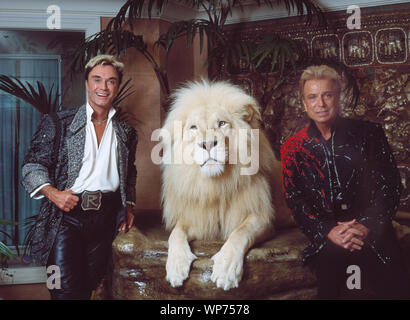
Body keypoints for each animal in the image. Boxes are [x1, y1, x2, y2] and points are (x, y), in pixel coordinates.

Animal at [159, 79, 292, 290]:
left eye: (221, 123)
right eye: (193, 127)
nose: (207, 144)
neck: (216, 184)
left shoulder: (263, 218)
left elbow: (240, 233)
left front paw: (226, 269)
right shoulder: (199, 219)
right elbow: (176, 233)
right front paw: (176, 267)